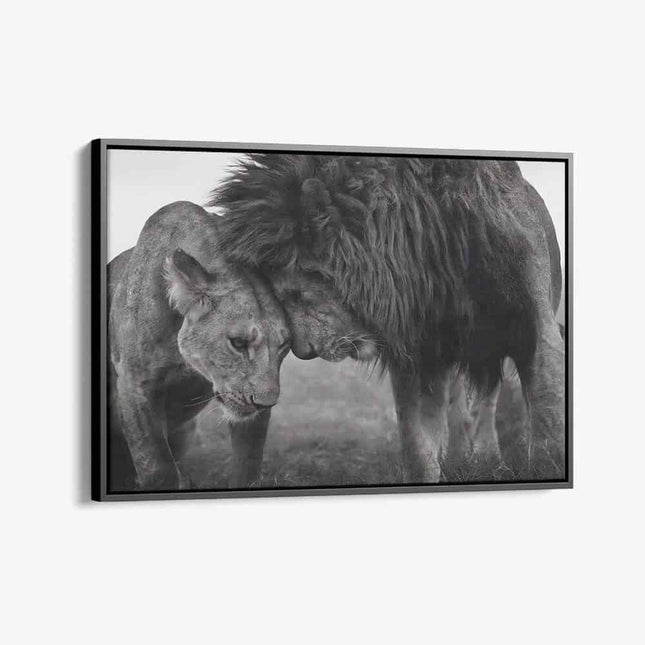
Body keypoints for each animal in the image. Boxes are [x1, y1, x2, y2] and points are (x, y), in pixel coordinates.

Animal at [108, 201, 291, 492]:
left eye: (284, 344)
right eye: (238, 343)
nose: (266, 403)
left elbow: (249, 461)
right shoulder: (135, 382)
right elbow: (157, 466)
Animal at [210, 155, 565, 483]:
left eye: (294, 294)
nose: (304, 352)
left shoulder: (537, 331)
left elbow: (547, 424)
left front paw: (542, 464)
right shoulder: (418, 355)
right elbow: (418, 446)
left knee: (488, 402)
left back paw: (488, 459)